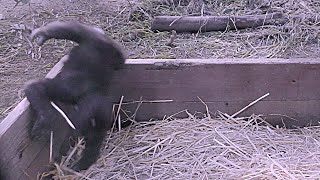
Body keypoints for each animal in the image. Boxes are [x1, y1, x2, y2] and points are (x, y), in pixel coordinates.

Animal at [23, 21, 125, 171]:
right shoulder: (70, 89)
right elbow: (36, 88)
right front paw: (45, 120)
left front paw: (84, 159)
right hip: (99, 43)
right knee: (76, 30)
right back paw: (45, 33)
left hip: (110, 52)